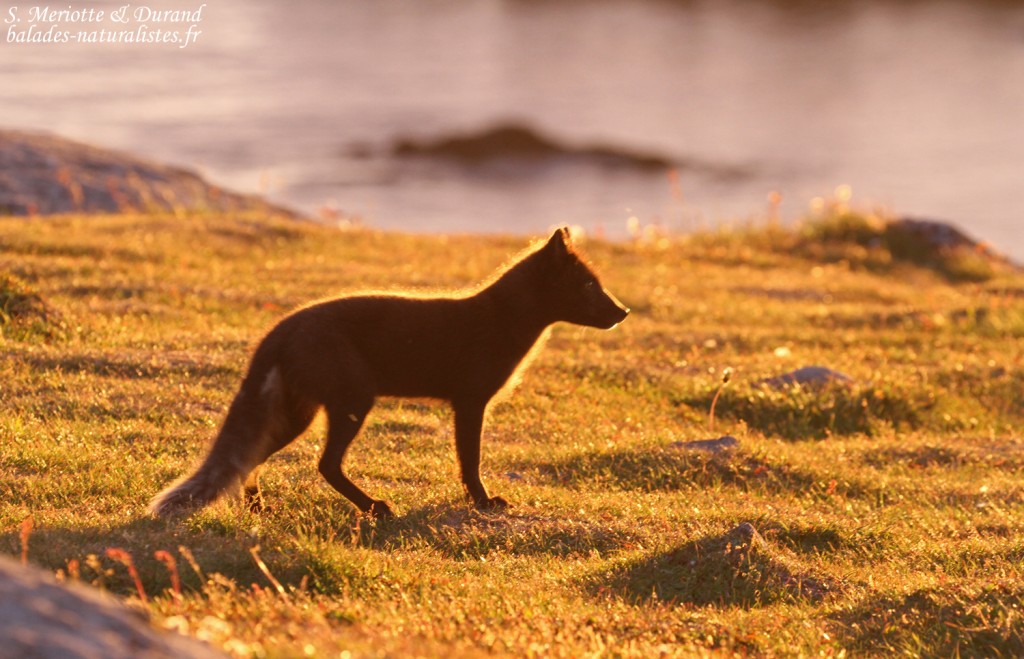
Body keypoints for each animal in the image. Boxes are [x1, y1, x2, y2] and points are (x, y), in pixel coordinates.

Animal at [149, 228, 629, 520]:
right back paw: (374, 508)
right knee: (324, 465)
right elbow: (470, 462)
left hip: (299, 416)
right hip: (353, 403)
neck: (501, 321)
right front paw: (482, 503)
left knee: (251, 461)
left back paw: (259, 511)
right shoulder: (470, 402)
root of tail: (280, 328)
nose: (624, 312)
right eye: (589, 286)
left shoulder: (467, 403)